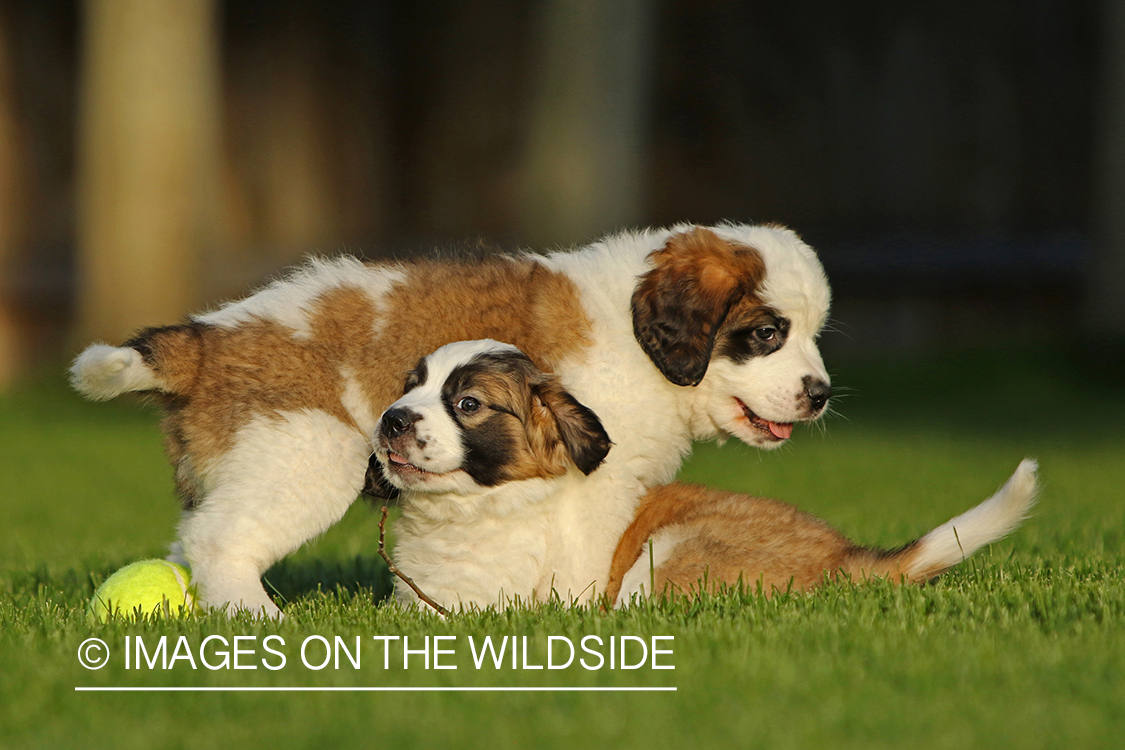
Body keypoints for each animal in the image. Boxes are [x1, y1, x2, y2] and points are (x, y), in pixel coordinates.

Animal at [68, 221, 828, 616]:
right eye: (767, 334)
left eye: (813, 332)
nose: (819, 393)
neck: (635, 337)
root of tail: (205, 338)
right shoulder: (595, 484)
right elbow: (587, 555)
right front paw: (584, 618)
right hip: (306, 457)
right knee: (218, 541)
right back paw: (258, 620)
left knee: (191, 538)